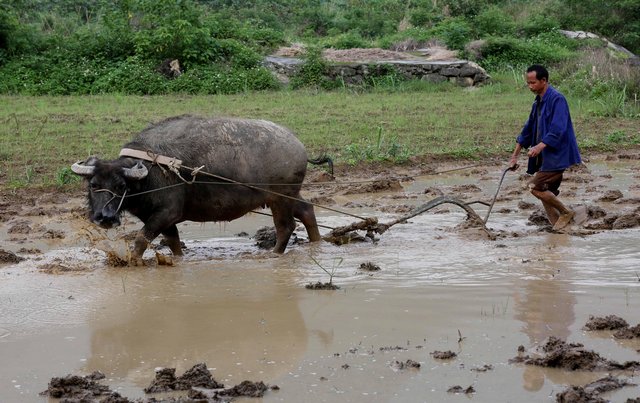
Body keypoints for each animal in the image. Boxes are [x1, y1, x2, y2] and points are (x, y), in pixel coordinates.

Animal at [71, 114, 324, 266]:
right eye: (93, 185)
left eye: (121, 186)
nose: (104, 217)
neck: (151, 173)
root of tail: (297, 145)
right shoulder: (161, 218)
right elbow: (173, 242)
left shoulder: (166, 214)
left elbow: (141, 238)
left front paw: (134, 261)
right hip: (284, 196)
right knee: (307, 210)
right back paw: (317, 243)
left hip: (282, 199)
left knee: (286, 226)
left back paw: (274, 253)